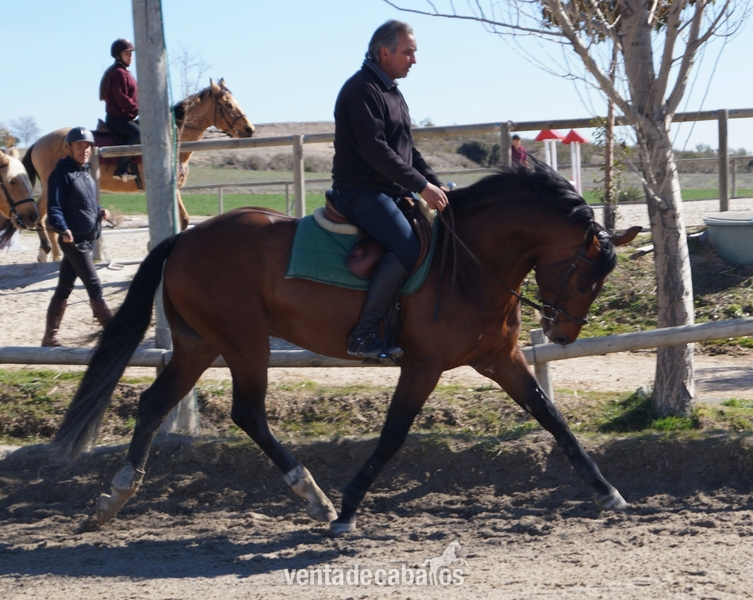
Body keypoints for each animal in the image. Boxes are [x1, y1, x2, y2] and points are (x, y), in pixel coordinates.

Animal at [22, 78, 254, 262]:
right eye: (228, 104)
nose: (249, 129)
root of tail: (38, 142)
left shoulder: (174, 188)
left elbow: (185, 220)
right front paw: (152, 244)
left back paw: (51, 252)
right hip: (52, 186)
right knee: (43, 216)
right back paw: (50, 253)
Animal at [53, 163, 641, 535]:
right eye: (587, 277)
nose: (564, 335)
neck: (472, 260)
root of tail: (185, 238)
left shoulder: (501, 359)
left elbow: (552, 417)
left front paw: (606, 490)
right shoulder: (423, 365)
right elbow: (392, 436)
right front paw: (349, 510)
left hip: (200, 344)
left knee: (154, 404)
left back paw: (113, 498)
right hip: (243, 341)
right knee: (248, 412)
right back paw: (314, 497)